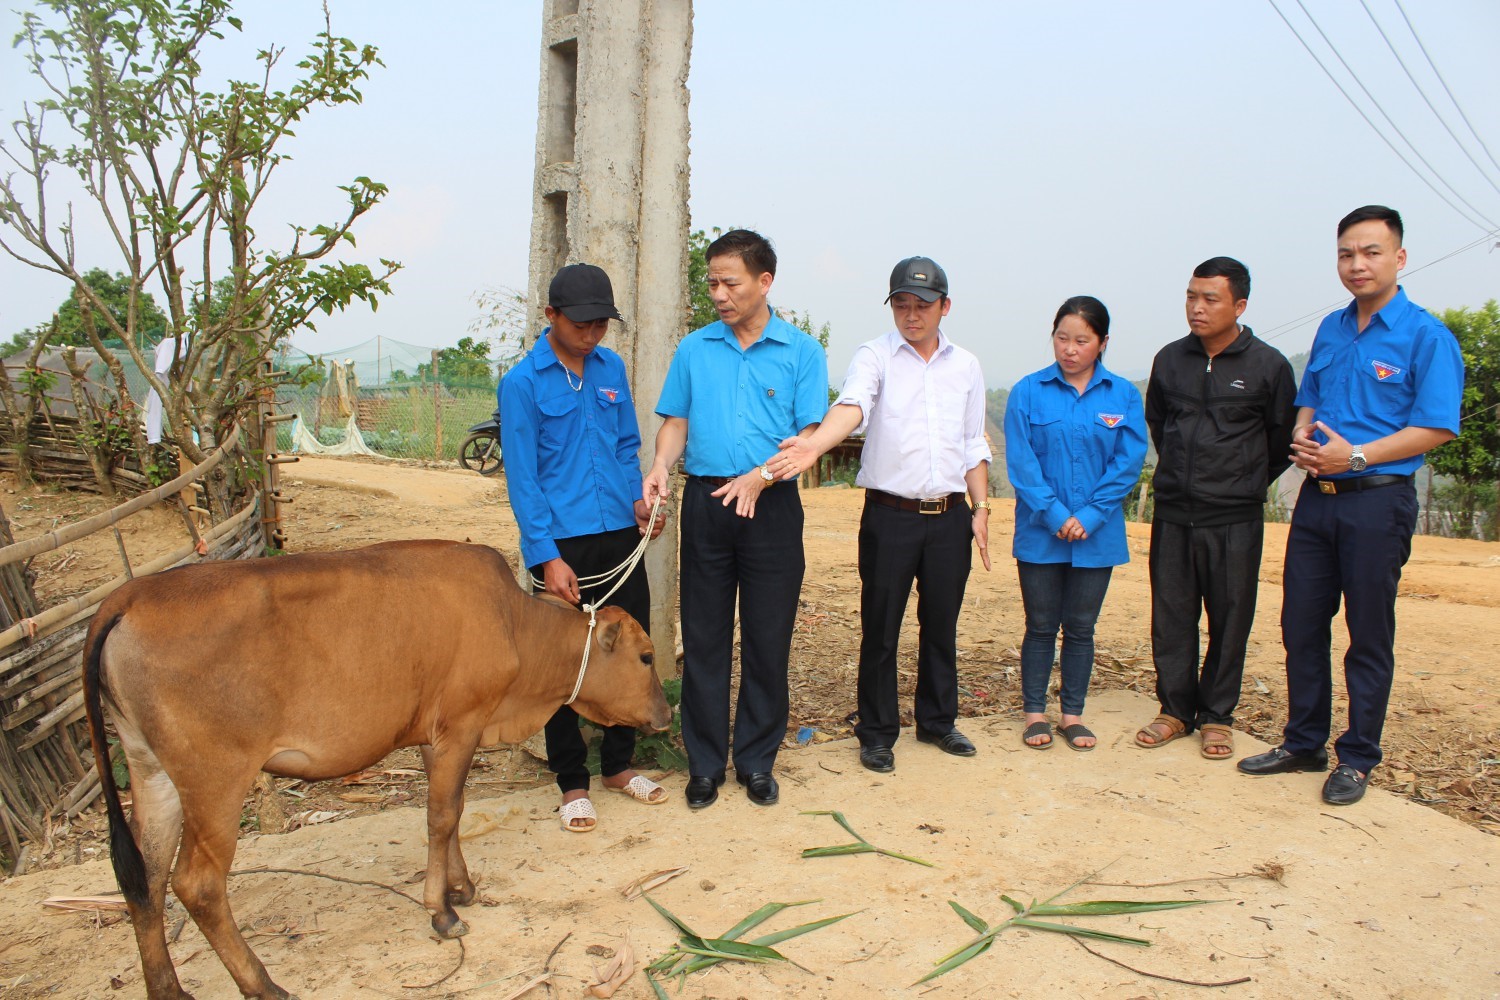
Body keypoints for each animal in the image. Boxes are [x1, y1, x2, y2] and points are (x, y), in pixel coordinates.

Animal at [80, 539, 669, 1000]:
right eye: (646, 656)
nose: (665, 714)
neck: (515, 626)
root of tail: (129, 596)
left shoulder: (436, 735)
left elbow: (451, 814)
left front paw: (459, 887)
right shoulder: (462, 724)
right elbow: (441, 815)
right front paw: (442, 910)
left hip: (150, 770)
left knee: (146, 876)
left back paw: (168, 987)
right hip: (215, 779)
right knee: (197, 884)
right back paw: (262, 983)